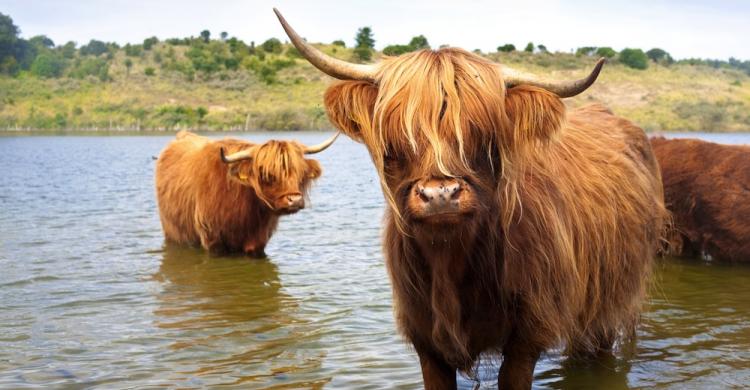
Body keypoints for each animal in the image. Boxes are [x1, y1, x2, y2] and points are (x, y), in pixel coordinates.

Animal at [156, 131, 338, 258]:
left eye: (300, 172)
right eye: (266, 174)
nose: (295, 200)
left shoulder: (258, 241)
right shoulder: (213, 240)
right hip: (173, 233)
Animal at [274, 7, 668, 388]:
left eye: (482, 134)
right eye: (396, 137)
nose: (440, 195)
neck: (451, 259)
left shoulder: (528, 335)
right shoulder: (426, 340)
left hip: (610, 301)